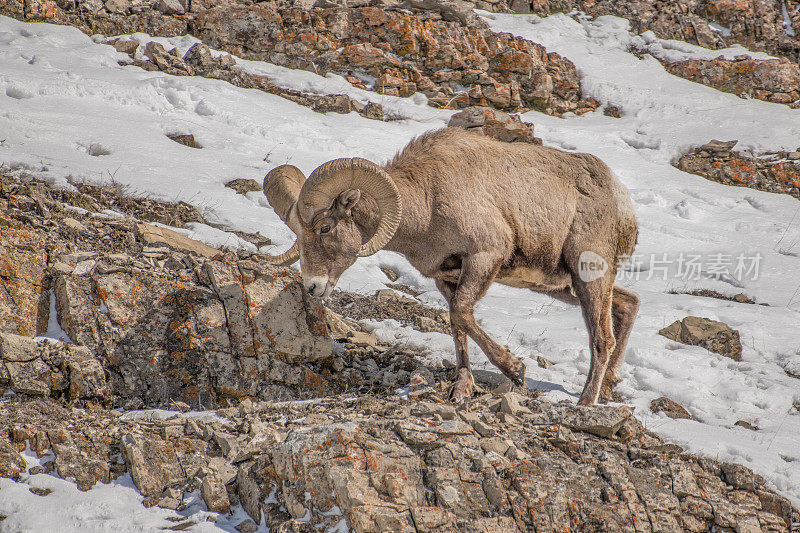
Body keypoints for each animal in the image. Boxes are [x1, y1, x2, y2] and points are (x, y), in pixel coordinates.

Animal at [262, 127, 636, 406]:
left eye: (325, 228)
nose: (312, 286)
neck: (427, 204)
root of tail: (621, 200)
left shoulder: (485, 257)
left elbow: (461, 315)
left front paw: (515, 371)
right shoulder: (447, 278)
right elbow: (457, 325)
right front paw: (462, 390)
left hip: (589, 276)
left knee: (602, 338)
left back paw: (586, 402)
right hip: (565, 287)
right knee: (628, 305)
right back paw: (607, 390)